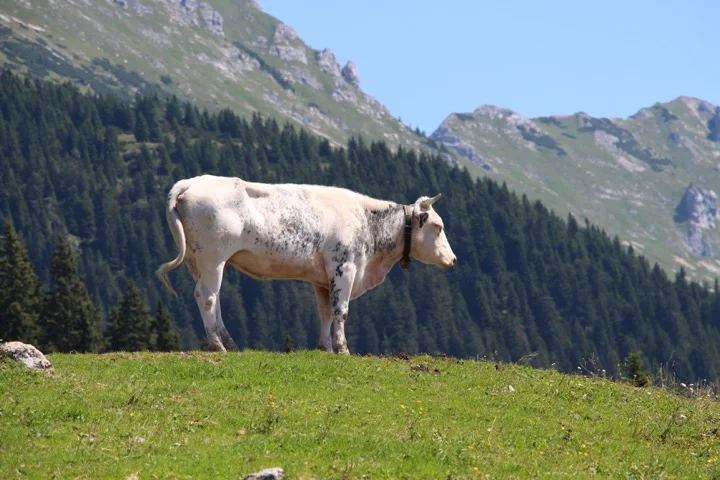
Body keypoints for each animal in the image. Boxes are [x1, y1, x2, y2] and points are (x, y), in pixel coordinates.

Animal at [156, 175, 457, 354]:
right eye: (438, 226)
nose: (453, 259)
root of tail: (192, 182)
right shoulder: (344, 267)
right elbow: (341, 311)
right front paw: (343, 349)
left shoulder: (321, 279)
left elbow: (324, 313)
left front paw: (326, 348)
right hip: (213, 258)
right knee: (206, 297)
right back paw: (218, 345)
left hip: (198, 261)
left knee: (212, 298)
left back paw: (229, 343)